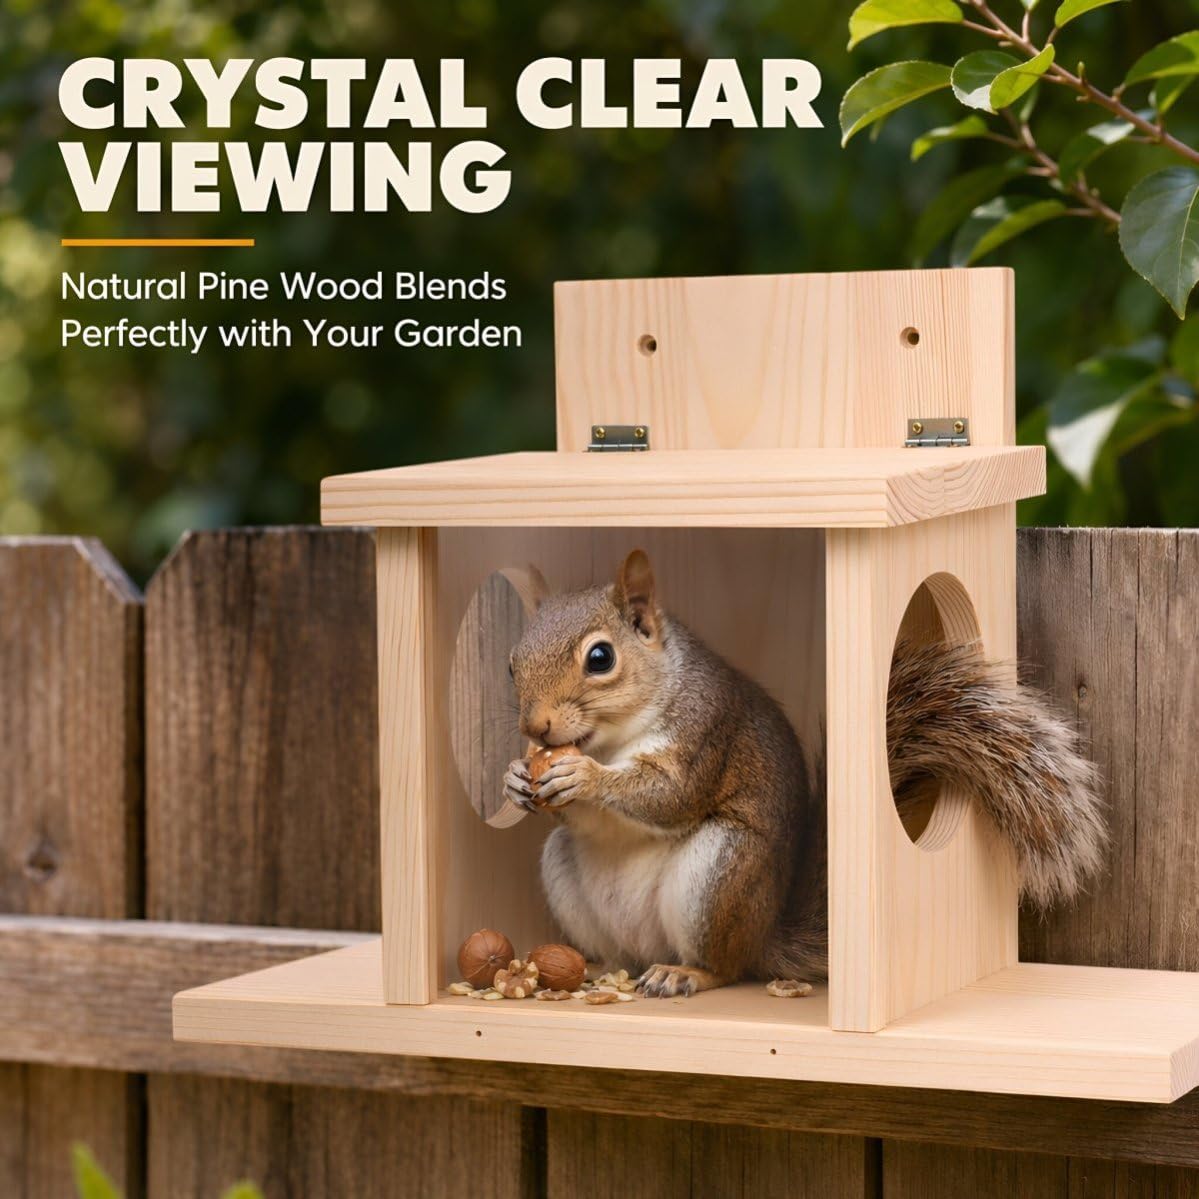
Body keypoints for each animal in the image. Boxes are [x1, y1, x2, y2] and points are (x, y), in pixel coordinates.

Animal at [503, 549, 1105, 999]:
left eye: (600, 658)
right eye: (511, 663)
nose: (535, 725)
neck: (612, 740)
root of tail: (764, 936)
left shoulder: (705, 731)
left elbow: (670, 795)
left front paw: (586, 777)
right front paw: (514, 776)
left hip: (720, 873)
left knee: (727, 967)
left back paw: (686, 972)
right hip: (567, 874)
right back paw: (592, 967)